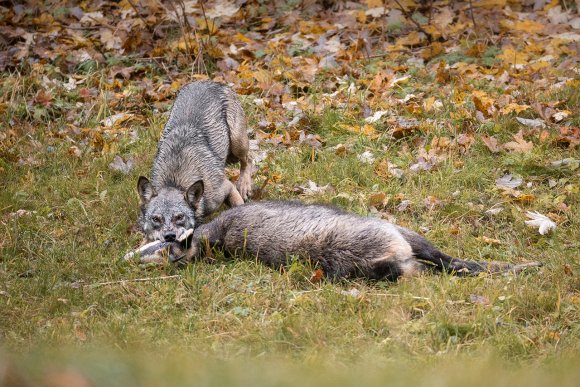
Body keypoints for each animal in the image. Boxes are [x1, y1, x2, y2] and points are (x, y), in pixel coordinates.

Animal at [138, 80, 254, 244]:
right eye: (156, 219)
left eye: (179, 217)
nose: (169, 237)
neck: (175, 180)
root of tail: (210, 81)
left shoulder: (226, 187)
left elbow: (238, 206)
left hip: (238, 145)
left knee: (249, 159)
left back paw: (244, 186)